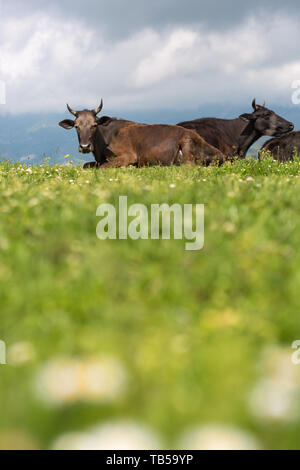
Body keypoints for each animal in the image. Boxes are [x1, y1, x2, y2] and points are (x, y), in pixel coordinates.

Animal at [58, 101, 225, 169]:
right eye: (76, 126)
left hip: (187, 145)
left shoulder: (129, 155)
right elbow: (86, 165)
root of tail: (221, 154)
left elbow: (104, 167)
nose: (85, 146)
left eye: (94, 125)